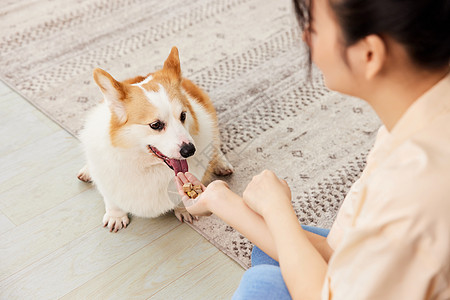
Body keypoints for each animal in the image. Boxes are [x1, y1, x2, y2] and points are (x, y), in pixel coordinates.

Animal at [76, 47, 232, 232]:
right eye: (156, 125)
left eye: (183, 115)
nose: (190, 150)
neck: (147, 166)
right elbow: (111, 198)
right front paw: (116, 216)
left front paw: (183, 210)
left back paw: (221, 163)